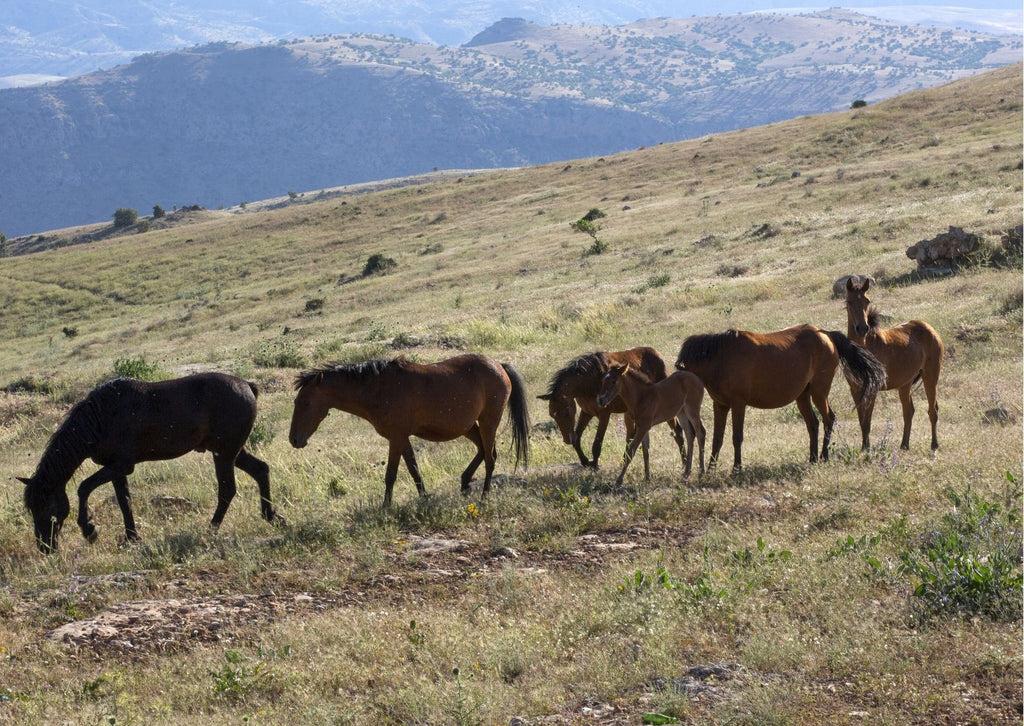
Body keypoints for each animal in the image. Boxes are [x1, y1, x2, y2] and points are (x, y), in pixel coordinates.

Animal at [20, 374, 284, 557]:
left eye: (47, 507)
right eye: (31, 509)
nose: (45, 547)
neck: (100, 418)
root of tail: (247, 385)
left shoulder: (122, 465)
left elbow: (84, 487)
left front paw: (89, 529)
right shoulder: (116, 469)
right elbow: (124, 501)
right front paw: (131, 537)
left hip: (224, 454)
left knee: (227, 490)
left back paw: (210, 529)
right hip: (233, 451)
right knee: (261, 470)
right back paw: (270, 515)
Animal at [286, 354, 528, 507]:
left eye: (305, 402)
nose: (294, 440)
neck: (379, 389)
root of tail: (499, 366)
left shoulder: (396, 437)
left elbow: (391, 475)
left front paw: (385, 507)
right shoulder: (402, 438)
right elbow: (413, 469)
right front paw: (424, 497)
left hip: (488, 421)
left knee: (490, 457)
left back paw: (484, 496)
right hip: (468, 426)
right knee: (483, 451)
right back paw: (465, 481)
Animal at [536, 346, 671, 471]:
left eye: (567, 413)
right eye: (552, 415)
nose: (567, 439)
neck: (589, 381)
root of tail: (657, 353)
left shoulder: (604, 415)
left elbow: (597, 443)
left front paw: (595, 465)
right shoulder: (586, 412)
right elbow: (578, 438)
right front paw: (585, 461)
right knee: (631, 434)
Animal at [675, 325, 884, 473]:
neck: (722, 359)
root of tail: (826, 334)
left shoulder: (738, 404)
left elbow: (736, 437)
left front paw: (737, 468)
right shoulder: (720, 405)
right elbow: (717, 438)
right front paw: (711, 468)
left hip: (819, 392)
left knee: (828, 419)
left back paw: (824, 456)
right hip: (803, 396)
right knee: (813, 424)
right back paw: (813, 458)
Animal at [847, 276, 942, 450]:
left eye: (867, 301)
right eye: (849, 301)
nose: (862, 328)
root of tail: (930, 329)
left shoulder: (872, 388)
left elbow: (867, 421)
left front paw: (866, 449)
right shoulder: (855, 389)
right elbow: (861, 420)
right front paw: (864, 447)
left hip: (930, 377)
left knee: (933, 410)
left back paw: (934, 444)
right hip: (905, 384)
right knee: (909, 411)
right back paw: (904, 445)